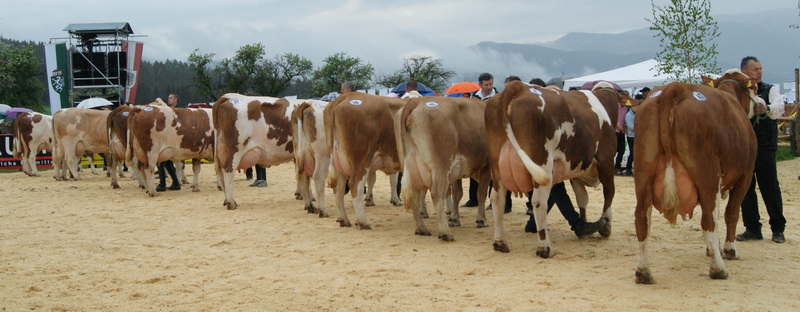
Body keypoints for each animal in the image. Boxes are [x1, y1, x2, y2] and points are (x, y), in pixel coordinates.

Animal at [324, 92, 406, 229]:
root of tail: (347, 96)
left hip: (339, 161)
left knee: (339, 188)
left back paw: (344, 220)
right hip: (361, 159)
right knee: (355, 185)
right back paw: (363, 222)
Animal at [396, 96, 490, 240]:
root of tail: (418, 100)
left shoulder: (457, 171)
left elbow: (457, 194)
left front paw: (454, 219)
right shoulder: (487, 167)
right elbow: (481, 193)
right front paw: (481, 220)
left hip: (412, 167)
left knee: (414, 195)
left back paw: (422, 229)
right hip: (440, 166)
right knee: (436, 193)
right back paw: (445, 233)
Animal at [484, 81, 620, 258]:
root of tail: (518, 86)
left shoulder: (576, 171)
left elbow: (582, 199)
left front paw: (585, 226)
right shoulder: (606, 161)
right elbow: (609, 192)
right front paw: (606, 225)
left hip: (497, 165)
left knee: (497, 198)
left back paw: (500, 243)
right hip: (542, 162)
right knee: (538, 201)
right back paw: (544, 248)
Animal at [632, 69, 756, 284]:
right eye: (754, 87)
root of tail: (675, 88)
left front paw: (713, 248)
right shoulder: (745, 176)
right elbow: (730, 213)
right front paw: (729, 250)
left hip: (642, 172)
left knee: (642, 218)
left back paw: (644, 272)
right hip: (707, 174)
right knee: (708, 220)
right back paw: (718, 269)